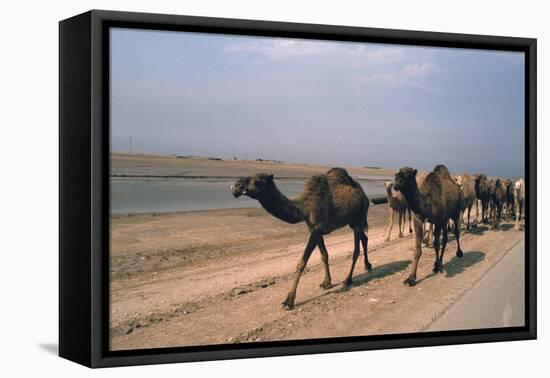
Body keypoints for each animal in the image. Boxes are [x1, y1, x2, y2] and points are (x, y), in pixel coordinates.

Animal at [231, 168, 374, 310]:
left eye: (258, 182)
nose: (236, 186)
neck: (304, 207)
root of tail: (364, 195)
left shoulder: (316, 229)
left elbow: (301, 263)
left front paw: (289, 300)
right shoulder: (314, 229)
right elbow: (324, 255)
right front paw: (326, 283)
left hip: (360, 215)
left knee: (356, 250)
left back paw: (348, 279)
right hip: (355, 221)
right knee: (365, 238)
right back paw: (367, 266)